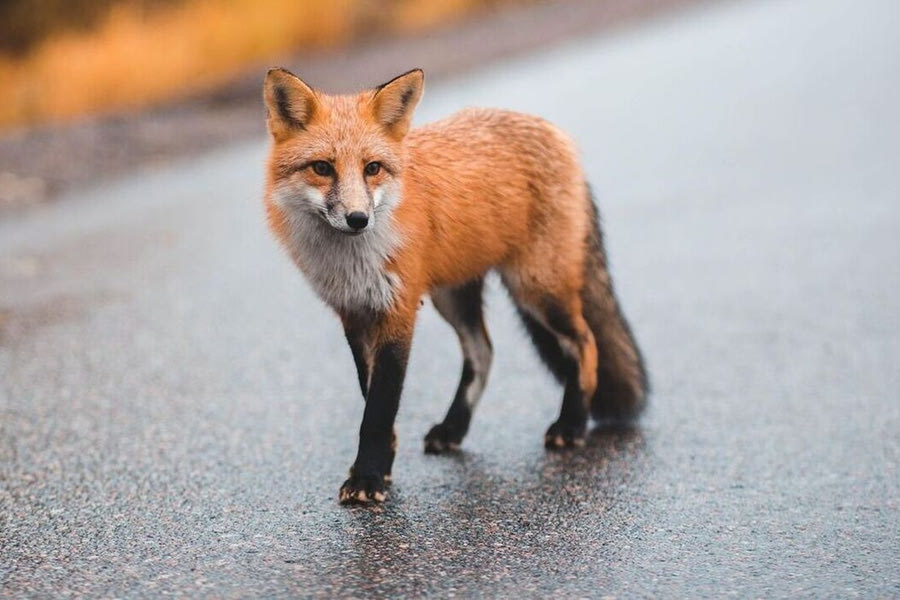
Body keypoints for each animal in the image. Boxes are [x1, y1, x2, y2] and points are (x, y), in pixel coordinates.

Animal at [260, 67, 648, 506]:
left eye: (372, 168)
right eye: (322, 168)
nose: (358, 219)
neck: (352, 261)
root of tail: (555, 131)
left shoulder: (399, 310)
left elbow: (379, 407)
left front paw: (368, 477)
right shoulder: (354, 313)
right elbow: (370, 397)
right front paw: (382, 465)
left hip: (536, 289)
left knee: (585, 343)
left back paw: (571, 424)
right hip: (454, 297)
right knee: (483, 352)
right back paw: (454, 428)